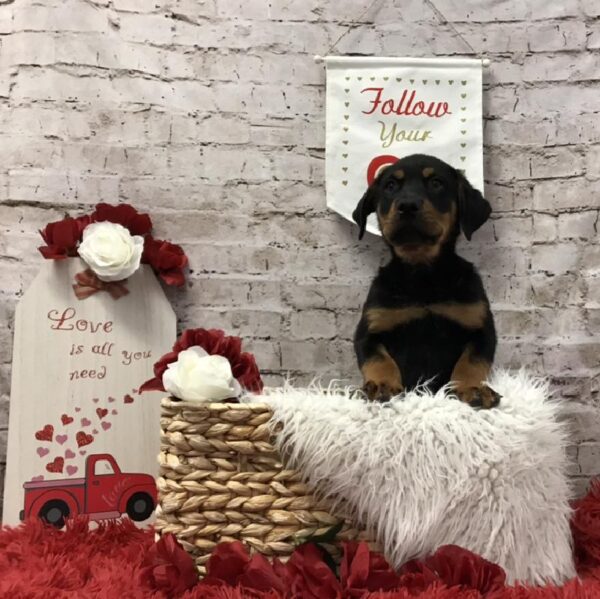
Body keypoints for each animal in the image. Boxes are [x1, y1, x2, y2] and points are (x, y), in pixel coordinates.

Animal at [352, 152, 502, 410]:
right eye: (390, 186)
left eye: (436, 183)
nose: (407, 205)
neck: (423, 277)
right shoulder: (370, 330)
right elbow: (379, 359)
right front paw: (382, 385)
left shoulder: (480, 327)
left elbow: (471, 363)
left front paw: (472, 389)